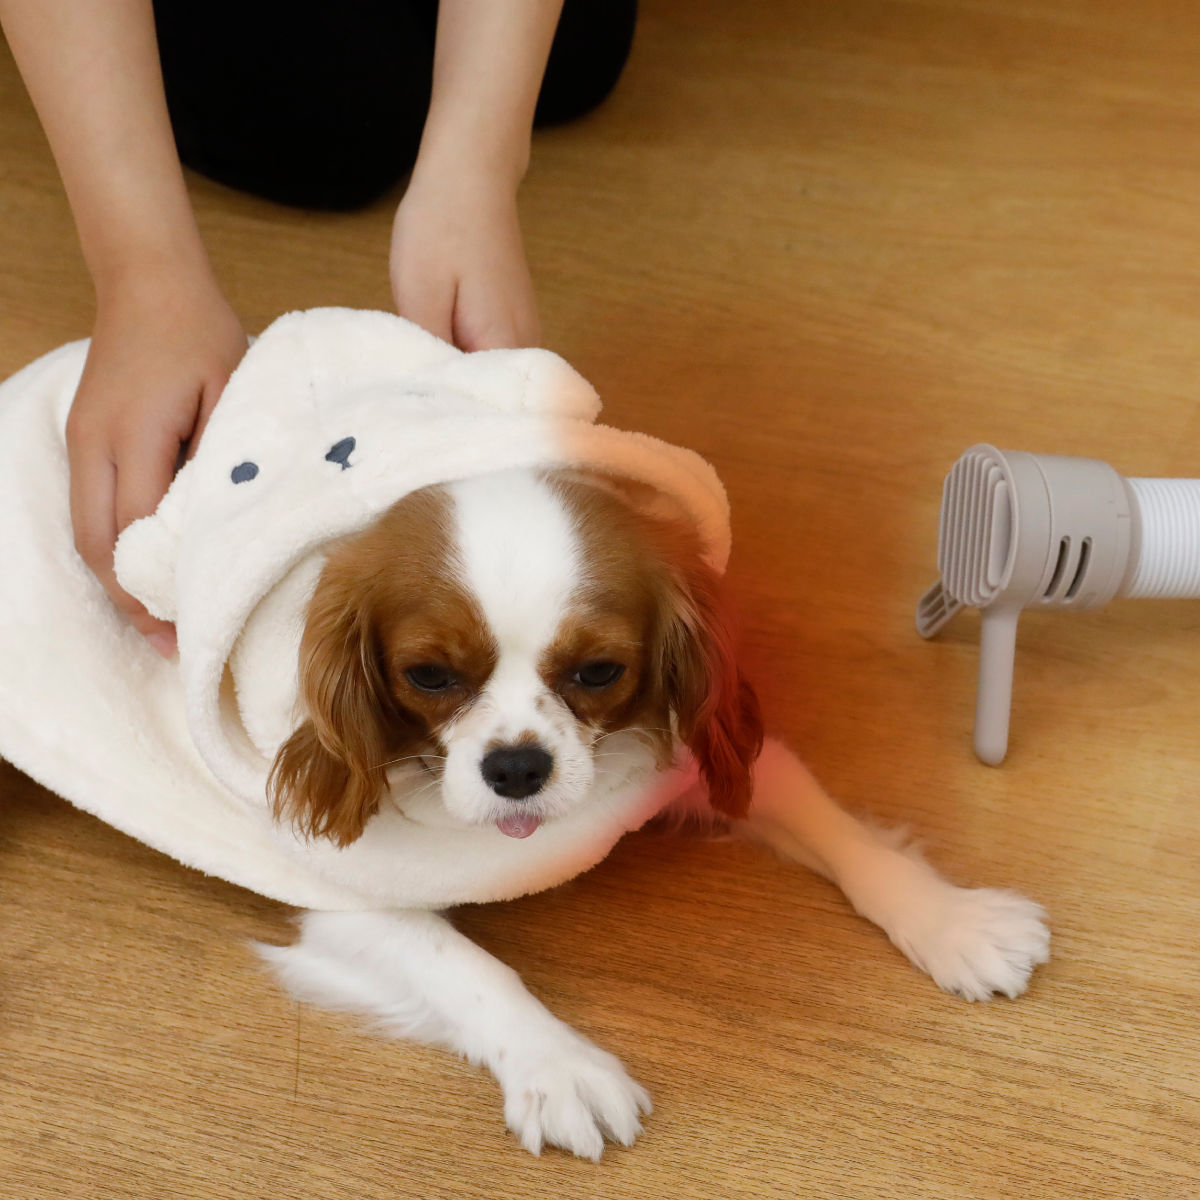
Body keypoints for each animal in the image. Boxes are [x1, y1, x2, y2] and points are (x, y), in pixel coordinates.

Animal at [255, 465, 1050, 1161]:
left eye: (599, 671)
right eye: (428, 676)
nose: (516, 768)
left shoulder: (699, 759)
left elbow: (838, 829)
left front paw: (950, 918)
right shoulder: (349, 900)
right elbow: (470, 968)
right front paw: (560, 1067)